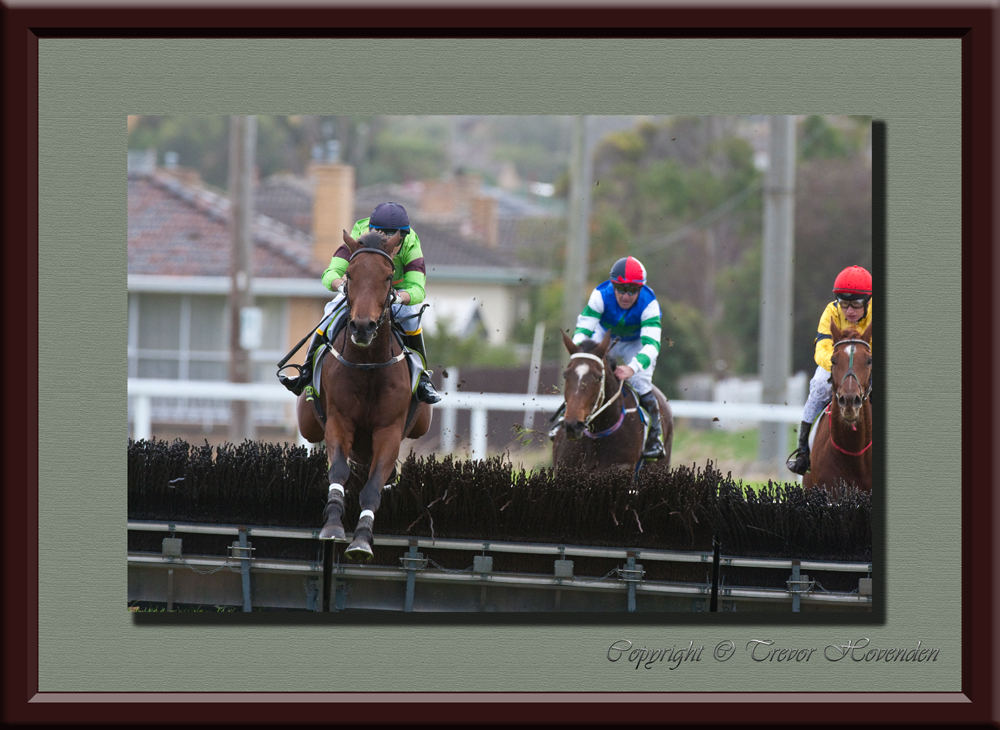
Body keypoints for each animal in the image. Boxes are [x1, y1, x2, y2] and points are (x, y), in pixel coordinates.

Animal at [300, 229, 434, 556]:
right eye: (350, 274)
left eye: (387, 277)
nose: (362, 327)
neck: (368, 365)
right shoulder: (339, 421)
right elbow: (338, 471)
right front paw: (333, 525)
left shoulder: (389, 430)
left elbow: (373, 486)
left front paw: (361, 538)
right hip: (308, 423)